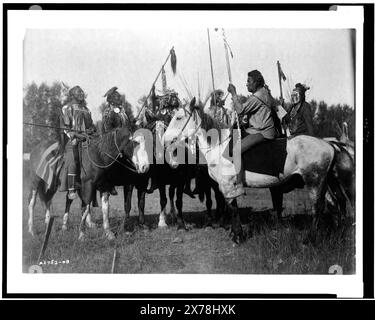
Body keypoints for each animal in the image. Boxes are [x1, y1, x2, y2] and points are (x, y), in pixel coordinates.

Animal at [164, 97, 352, 242]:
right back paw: (338, 231)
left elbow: (232, 207)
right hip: (326, 183)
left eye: (179, 117)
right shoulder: (223, 186)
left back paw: (311, 238)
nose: (165, 139)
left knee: (318, 207)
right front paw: (234, 232)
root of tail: (330, 144)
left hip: (314, 182)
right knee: (336, 203)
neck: (219, 145)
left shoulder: (228, 184)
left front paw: (238, 236)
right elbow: (228, 206)